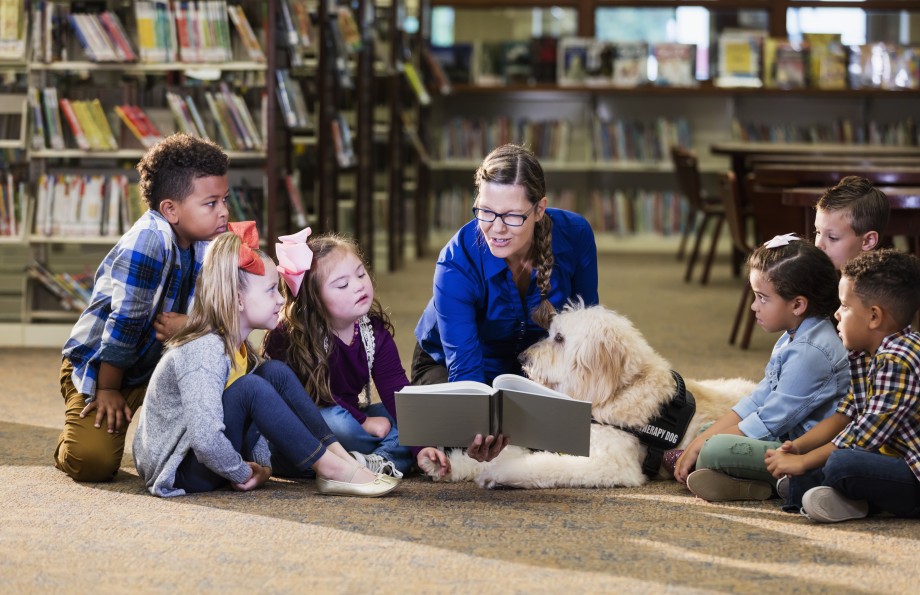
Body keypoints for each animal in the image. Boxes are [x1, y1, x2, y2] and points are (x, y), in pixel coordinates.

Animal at [420, 304, 760, 492]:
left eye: (559, 338)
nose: (522, 358)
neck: (617, 393)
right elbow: (510, 452)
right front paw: (445, 465)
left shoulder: (610, 463)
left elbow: (544, 465)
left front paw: (498, 474)